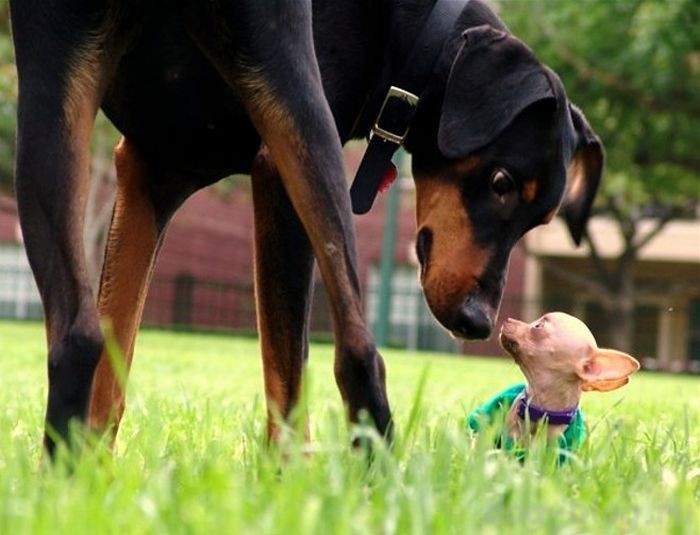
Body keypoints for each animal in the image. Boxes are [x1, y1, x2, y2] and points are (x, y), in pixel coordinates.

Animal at [9, 0, 600, 454]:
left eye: (539, 219)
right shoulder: (228, 176)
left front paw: (92, 481)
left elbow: (113, 371)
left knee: (78, 335)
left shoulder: (151, 174)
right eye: (501, 181)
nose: (478, 323)